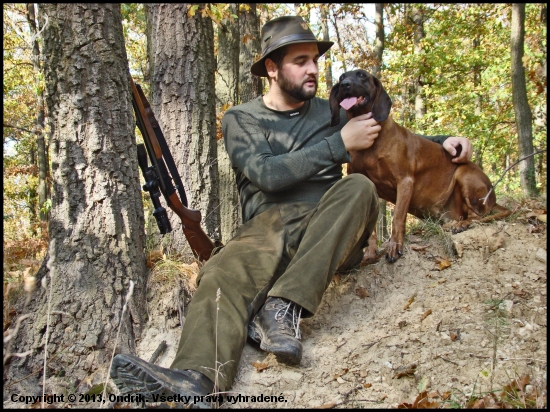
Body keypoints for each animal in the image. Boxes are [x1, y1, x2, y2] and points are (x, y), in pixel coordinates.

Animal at [328, 69, 512, 262]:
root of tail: (492, 198)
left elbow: (397, 218)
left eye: (362, 75)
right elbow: (370, 230)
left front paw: (395, 246)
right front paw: (370, 252)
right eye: (341, 77)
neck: (372, 144)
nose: (344, 85)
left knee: (478, 215)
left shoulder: (405, 181)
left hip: (464, 174)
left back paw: (462, 225)